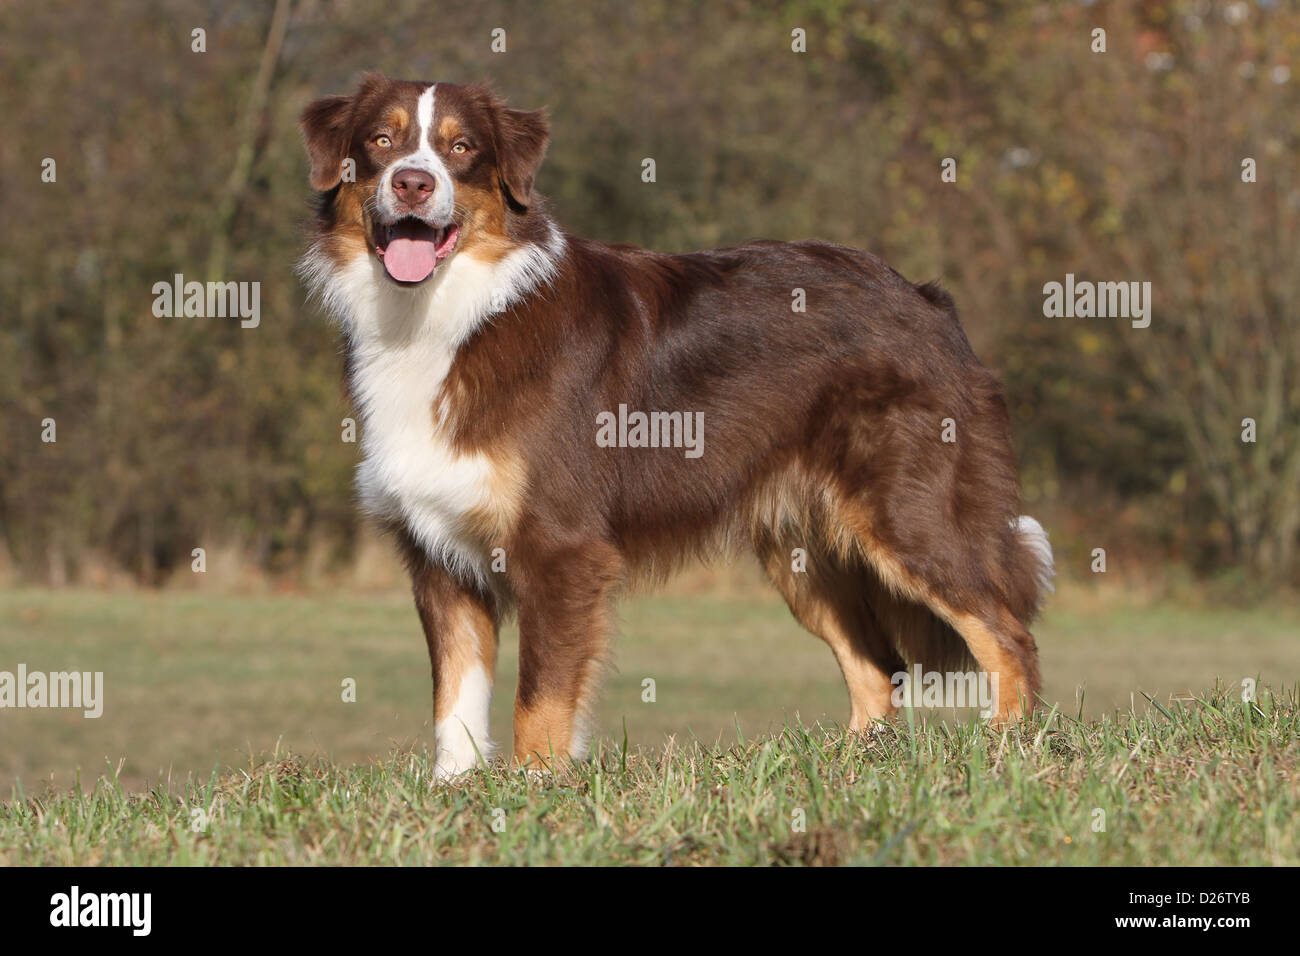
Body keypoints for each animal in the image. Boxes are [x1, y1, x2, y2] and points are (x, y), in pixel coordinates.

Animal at [299, 72, 1050, 780]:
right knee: (875, 667)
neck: (453, 314)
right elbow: (455, 697)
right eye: (381, 141)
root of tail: (928, 300)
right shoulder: (439, 553)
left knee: (1006, 632)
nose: (413, 182)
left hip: (909, 517)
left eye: (461, 149)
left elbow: (540, 698)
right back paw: (851, 766)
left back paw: (1007, 750)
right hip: (802, 554)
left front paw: (537, 788)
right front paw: (456, 791)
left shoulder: (560, 547)